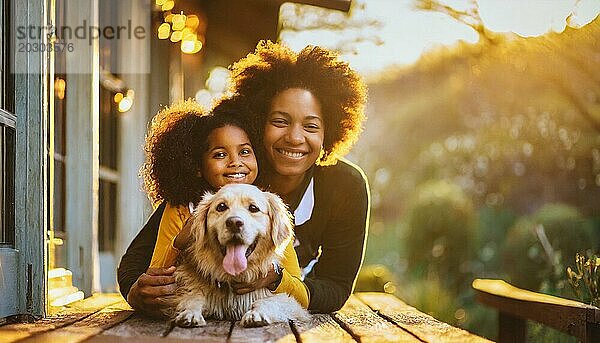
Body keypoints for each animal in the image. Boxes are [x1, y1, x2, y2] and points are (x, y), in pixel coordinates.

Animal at [168, 184, 310, 330]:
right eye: (221, 207)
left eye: (253, 208)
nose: (234, 222)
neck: (235, 276)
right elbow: (193, 298)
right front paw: (190, 313)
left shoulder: (294, 305)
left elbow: (267, 301)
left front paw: (256, 314)